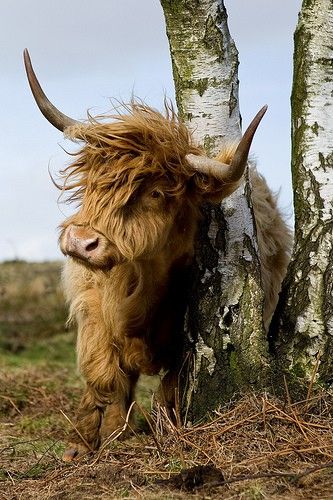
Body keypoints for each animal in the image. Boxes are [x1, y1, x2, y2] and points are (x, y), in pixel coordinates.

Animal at [23, 49, 290, 460]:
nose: (81, 241)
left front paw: (153, 432)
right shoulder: (91, 302)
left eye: (157, 193)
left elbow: (168, 389)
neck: (140, 292)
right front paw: (86, 443)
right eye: (92, 181)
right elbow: (102, 374)